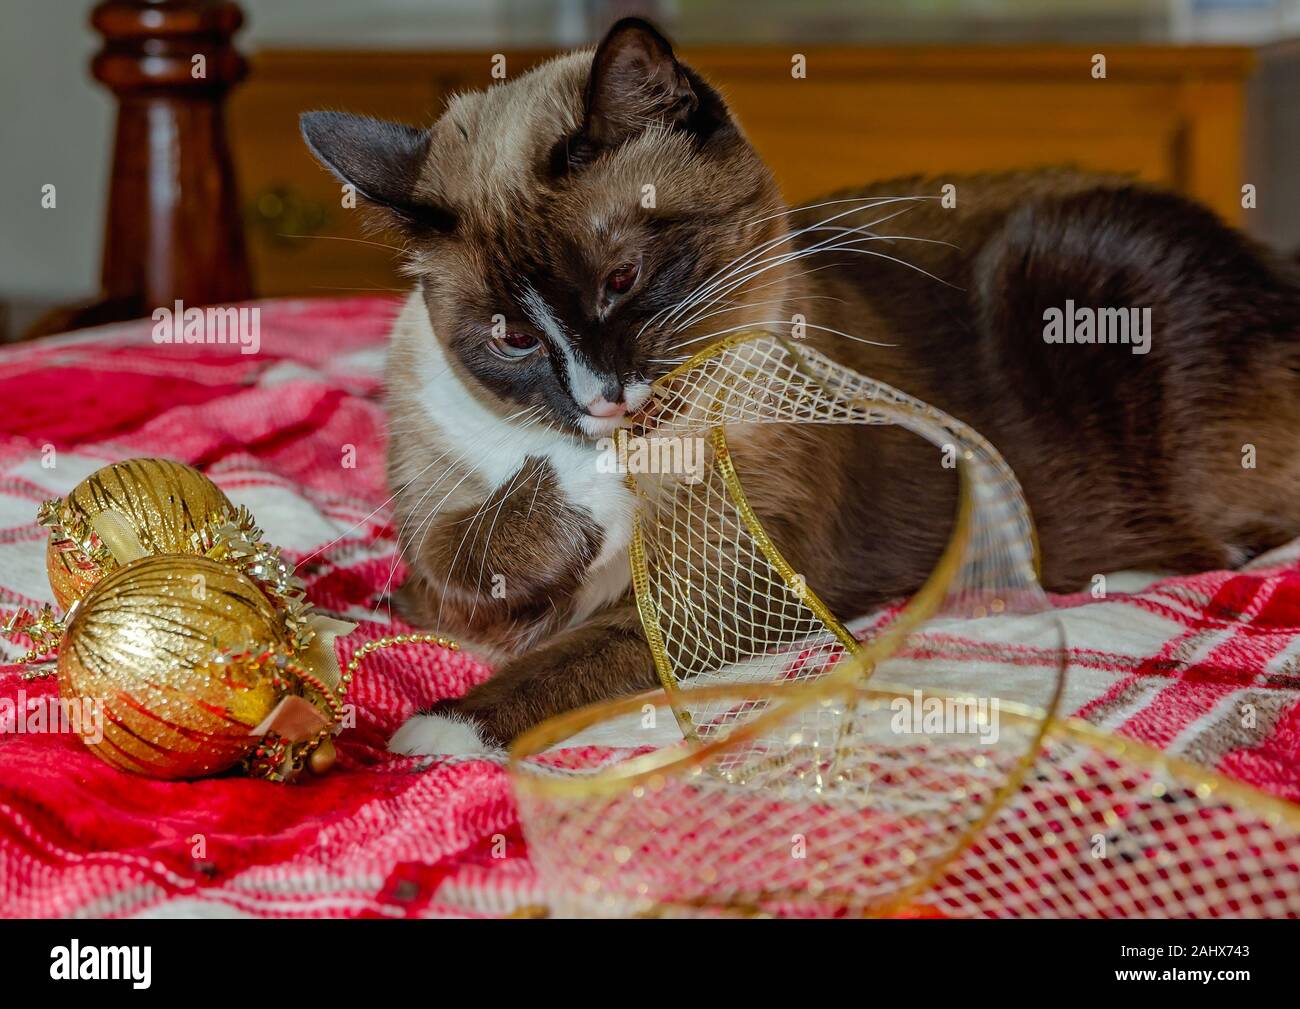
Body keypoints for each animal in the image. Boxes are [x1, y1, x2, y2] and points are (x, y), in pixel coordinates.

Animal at [299, 17, 1300, 759]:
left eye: (622, 282)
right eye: (511, 337)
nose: (601, 400)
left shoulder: (732, 582)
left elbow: (580, 646)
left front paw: (436, 734)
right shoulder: (437, 549)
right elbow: (456, 552)